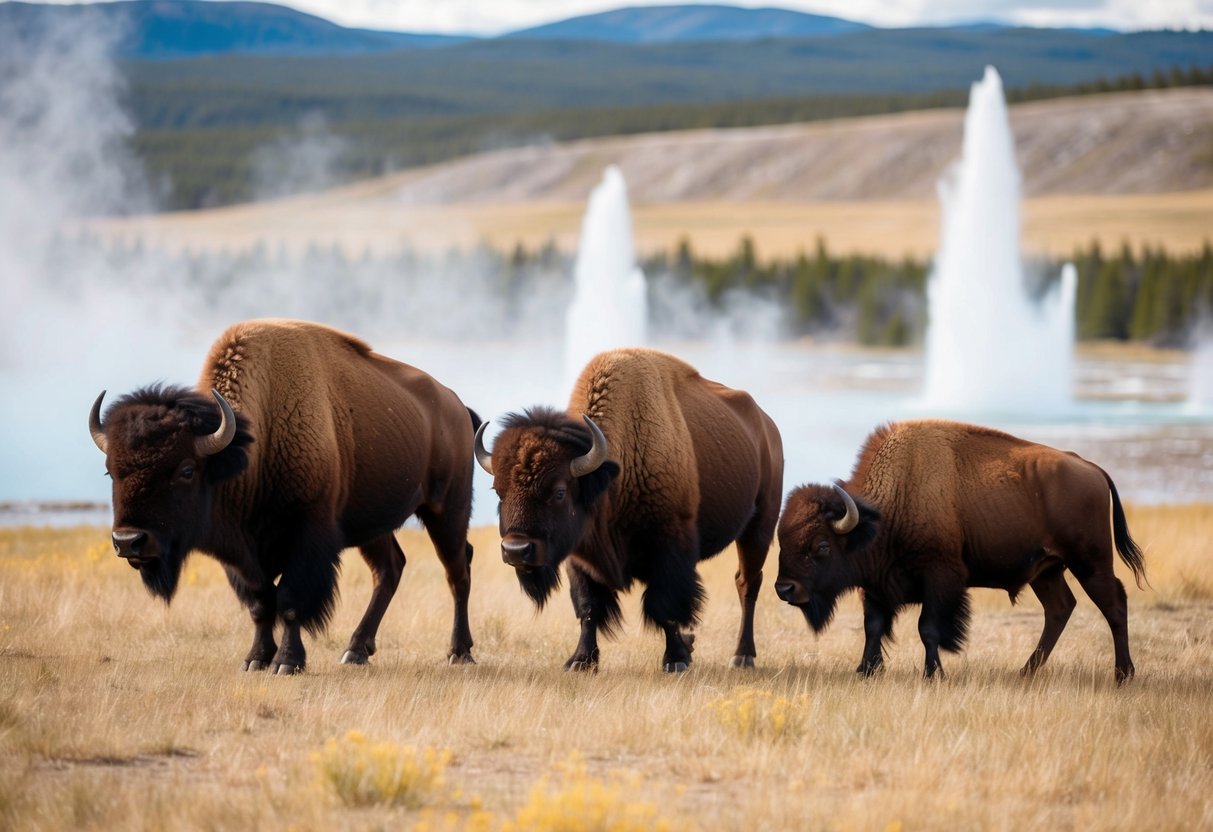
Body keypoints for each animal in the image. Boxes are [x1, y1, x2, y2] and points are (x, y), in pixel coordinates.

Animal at [88, 318, 479, 673]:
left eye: (186, 470)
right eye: (110, 471)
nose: (128, 541)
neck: (250, 447)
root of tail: (457, 406)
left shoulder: (305, 539)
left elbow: (289, 601)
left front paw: (287, 662)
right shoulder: (242, 556)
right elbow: (261, 603)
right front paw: (255, 659)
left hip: (447, 510)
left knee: (457, 571)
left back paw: (459, 653)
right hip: (373, 525)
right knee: (390, 570)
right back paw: (356, 651)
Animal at [474, 347, 784, 672]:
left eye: (559, 492)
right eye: (498, 491)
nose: (515, 551)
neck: (611, 476)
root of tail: (767, 426)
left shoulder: (669, 549)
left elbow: (664, 606)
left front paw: (676, 660)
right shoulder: (580, 557)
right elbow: (588, 607)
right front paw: (580, 660)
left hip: (759, 528)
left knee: (748, 584)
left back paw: (743, 656)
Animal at [775, 419, 1146, 683]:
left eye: (821, 545)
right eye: (782, 541)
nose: (784, 589)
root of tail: (1092, 469)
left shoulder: (940, 578)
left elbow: (928, 628)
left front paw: (933, 674)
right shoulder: (877, 586)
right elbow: (873, 626)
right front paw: (866, 670)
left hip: (1090, 562)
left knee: (1114, 604)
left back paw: (1123, 675)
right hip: (1047, 571)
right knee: (1060, 608)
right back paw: (1026, 671)